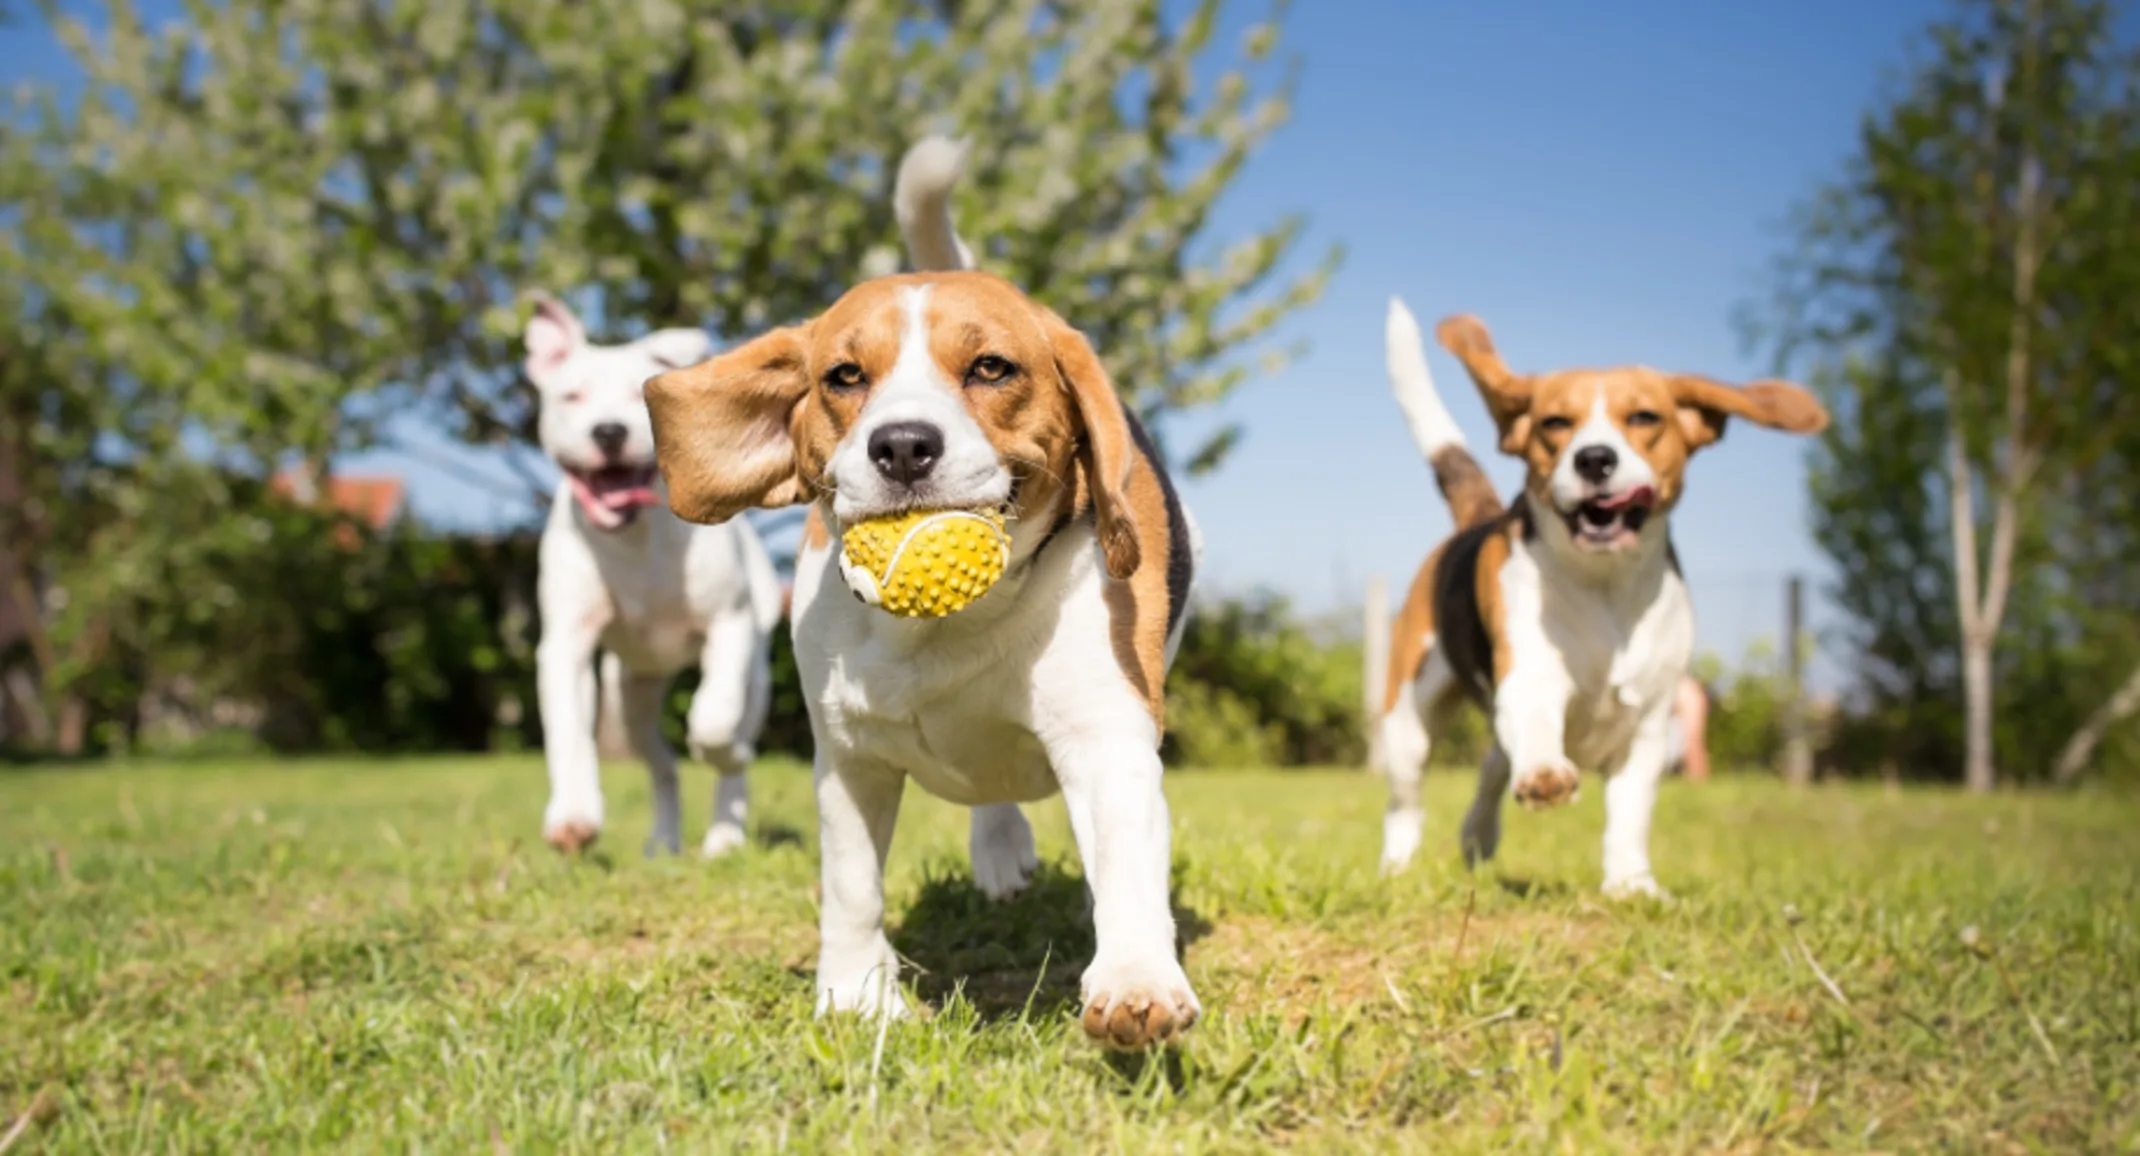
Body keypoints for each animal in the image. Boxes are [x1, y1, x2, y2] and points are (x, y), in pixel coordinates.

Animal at [526, 297, 787, 856]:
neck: (634, 536)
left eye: (637, 394)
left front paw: (723, 751)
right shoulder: (566, 645)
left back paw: (725, 835)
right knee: (662, 765)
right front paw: (573, 816)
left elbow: (713, 720)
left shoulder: (728, 626)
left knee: (731, 742)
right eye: (571, 396)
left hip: (756, 672)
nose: (608, 431)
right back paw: (664, 841)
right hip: (632, 696)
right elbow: (568, 733)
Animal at [637, 140, 1206, 1053]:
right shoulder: (848, 759)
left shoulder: (1106, 738)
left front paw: (1135, 980)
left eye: (991, 368)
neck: (943, 629)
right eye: (843, 376)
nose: (902, 445)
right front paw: (854, 996)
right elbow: (851, 886)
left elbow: (1124, 864)